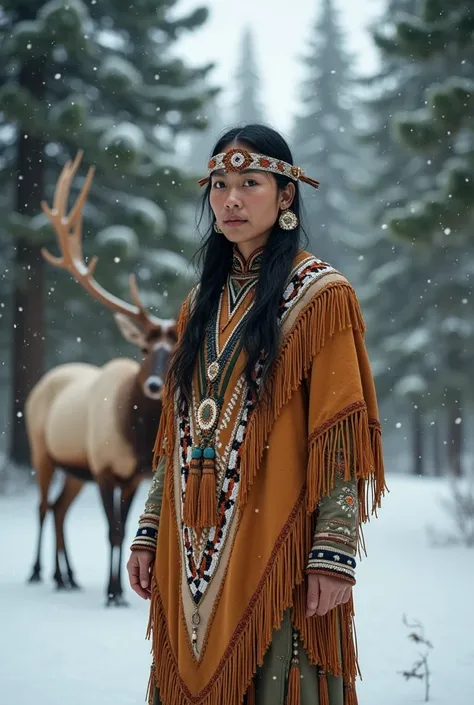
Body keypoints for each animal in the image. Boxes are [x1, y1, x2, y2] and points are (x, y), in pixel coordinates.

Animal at [25, 153, 178, 604]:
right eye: (145, 350)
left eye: (177, 349)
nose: (154, 386)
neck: (135, 433)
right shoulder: (106, 468)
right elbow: (112, 531)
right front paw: (113, 593)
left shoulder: (135, 475)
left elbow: (123, 531)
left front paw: (119, 591)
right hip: (41, 449)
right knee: (43, 506)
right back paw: (39, 572)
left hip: (76, 469)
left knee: (59, 509)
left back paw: (67, 577)